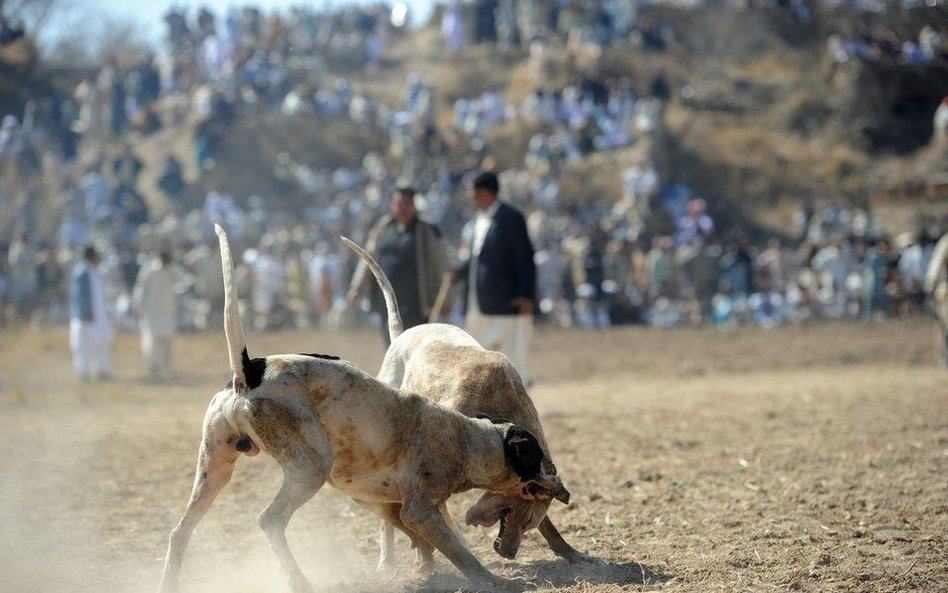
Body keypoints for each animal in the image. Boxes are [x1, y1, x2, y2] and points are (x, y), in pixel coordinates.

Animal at [158, 223, 568, 592]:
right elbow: (459, 553)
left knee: (179, 531)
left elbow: (420, 539)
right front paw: (494, 580)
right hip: (310, 467)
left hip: (215, 468)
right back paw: (299, 580)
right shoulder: (420, 509)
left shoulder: (389, 502)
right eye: (535, 457)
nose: (558, 484)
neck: (470, 437)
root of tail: (249, 369)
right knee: (268, 520)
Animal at [340, 236, 600, 568]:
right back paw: (388, 559)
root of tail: (401, 336)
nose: (509, 552)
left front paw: (572, 552)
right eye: (519, 515)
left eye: (530, 523)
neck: (496, 406)